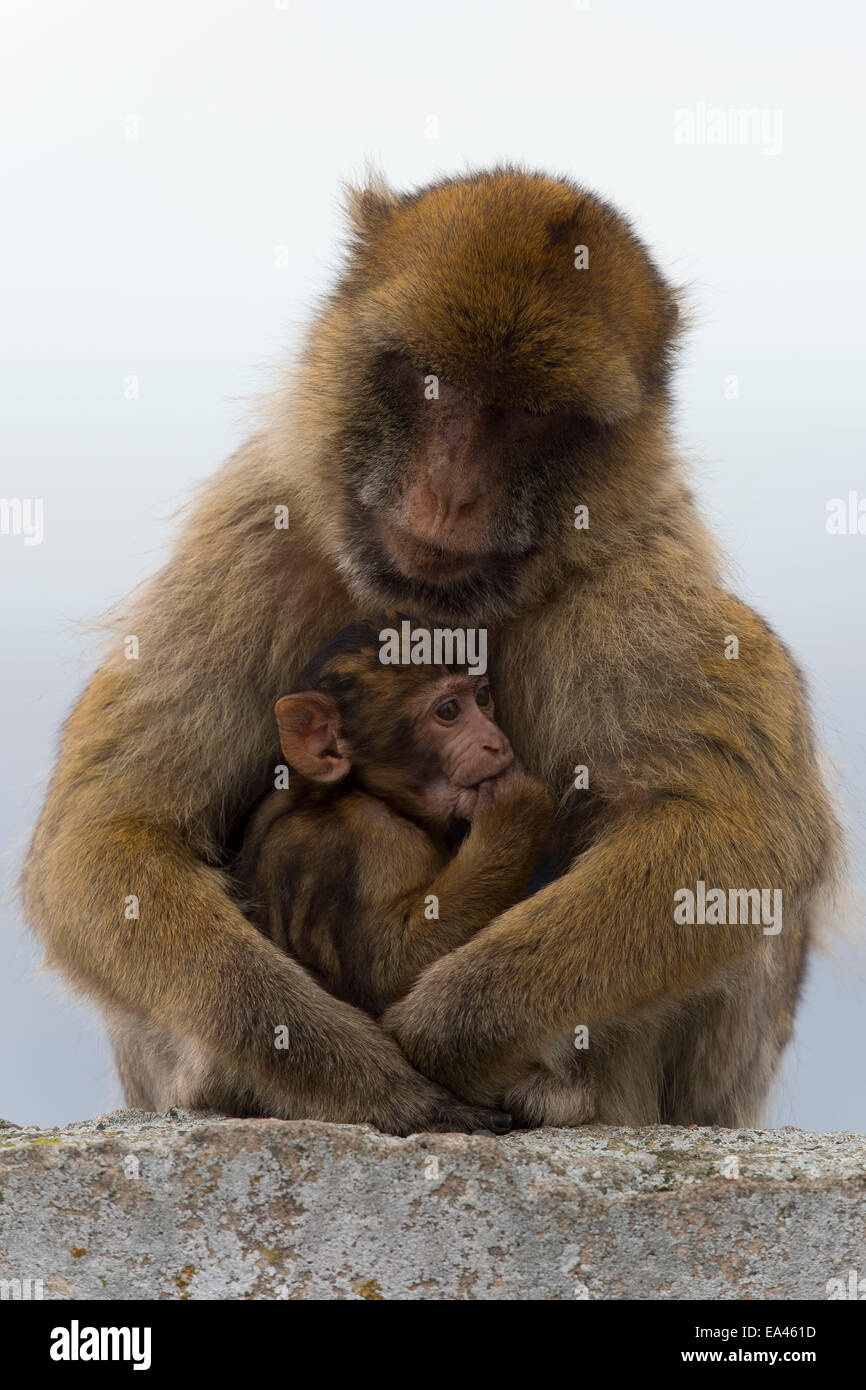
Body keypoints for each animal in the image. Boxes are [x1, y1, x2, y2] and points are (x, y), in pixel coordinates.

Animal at [235, 616, 555, 1020]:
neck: (368, 791)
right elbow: (390, 978)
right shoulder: (369, 840)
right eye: (448, 711)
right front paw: (517, 806)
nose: (496, 743)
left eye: (482, 697)